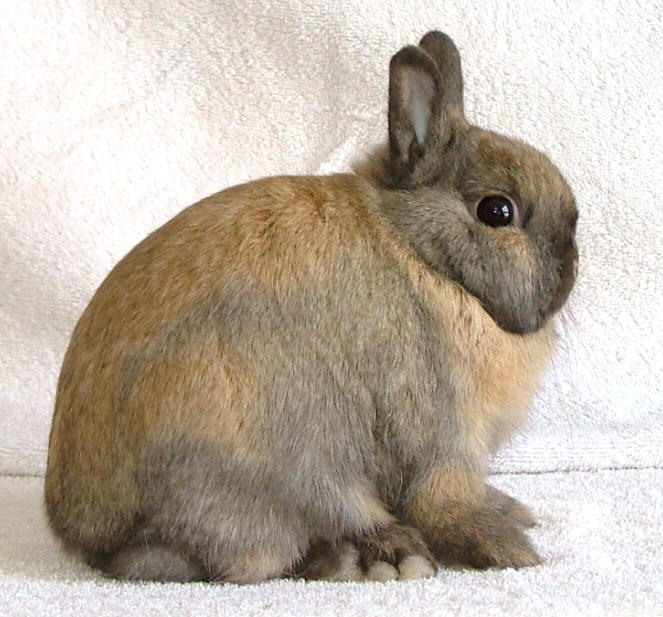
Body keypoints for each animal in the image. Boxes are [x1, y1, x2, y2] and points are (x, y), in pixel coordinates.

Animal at [45, 31, 578, 584]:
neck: (423, 255)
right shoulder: (442, 431)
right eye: (497, 210)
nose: (569, 269)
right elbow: (442, 500)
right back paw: (388, 557)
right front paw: (510, 549)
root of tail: (101, 539)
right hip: (286, 451)